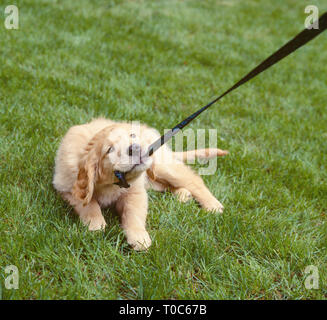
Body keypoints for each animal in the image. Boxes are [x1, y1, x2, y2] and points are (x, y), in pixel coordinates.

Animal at [53, 117, 228, 250]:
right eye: (109, 149)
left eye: (132, 136)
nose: (135, 148)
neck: (112, 184)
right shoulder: (67, 188)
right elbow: (88, 204)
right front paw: (95, 223)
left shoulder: (135, 192)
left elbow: (133, 214)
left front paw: (139, 237)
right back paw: (182, 194)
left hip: (163, 166)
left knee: (194, 180)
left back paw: (212, 204)